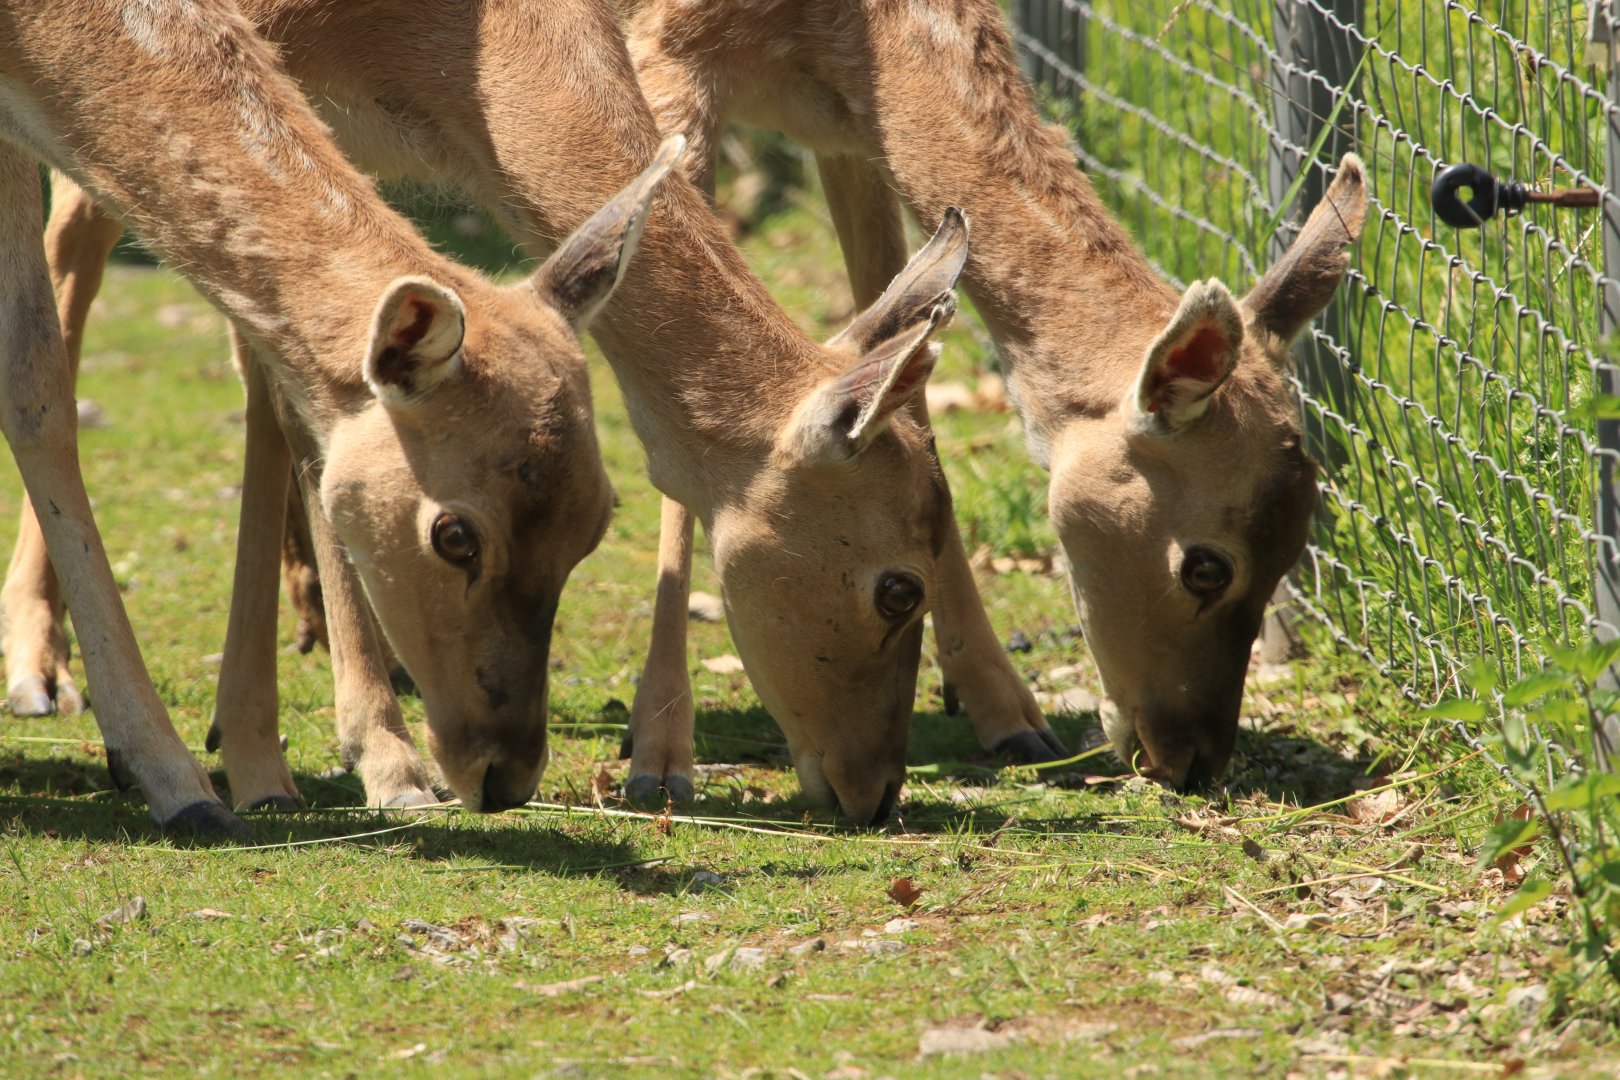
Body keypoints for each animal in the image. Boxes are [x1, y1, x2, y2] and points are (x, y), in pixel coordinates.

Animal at [621, 0, 1368, 788]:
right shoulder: (664, 56)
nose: (1195, 759)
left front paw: (1008, 714)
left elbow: (905, 368)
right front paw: (659, 753)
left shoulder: (848, 135)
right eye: (1205, 567)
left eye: (1297, 547)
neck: (836, 34)